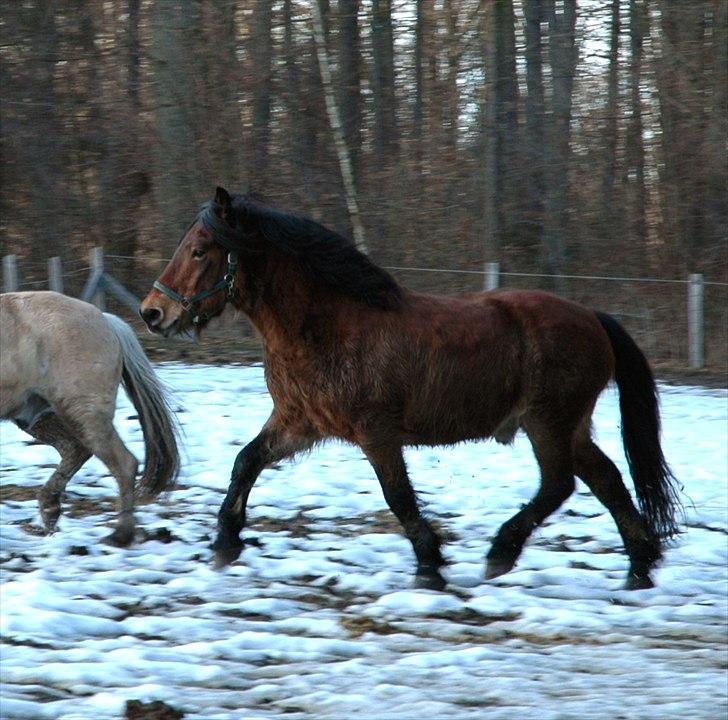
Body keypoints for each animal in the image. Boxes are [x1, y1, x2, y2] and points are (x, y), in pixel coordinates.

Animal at [0, 290, 180, 544]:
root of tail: (107, 321)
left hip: (84, 413)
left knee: (123, 463)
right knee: (75, 449)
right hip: (38, 415)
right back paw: (50, 510)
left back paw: (120, 534)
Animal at [139, 188, 680, 592]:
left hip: (548, 422)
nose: (152, 313)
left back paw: (502, 552)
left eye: (200, 251)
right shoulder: (299, 423)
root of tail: (592, 317)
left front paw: (430, 565)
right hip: (568, 427)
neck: (322, 327)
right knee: (606, 480)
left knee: (559, 484)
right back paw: (639, 567)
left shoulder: (376, 433)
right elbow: (245, 462)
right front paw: (225, 543)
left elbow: (398, 496)